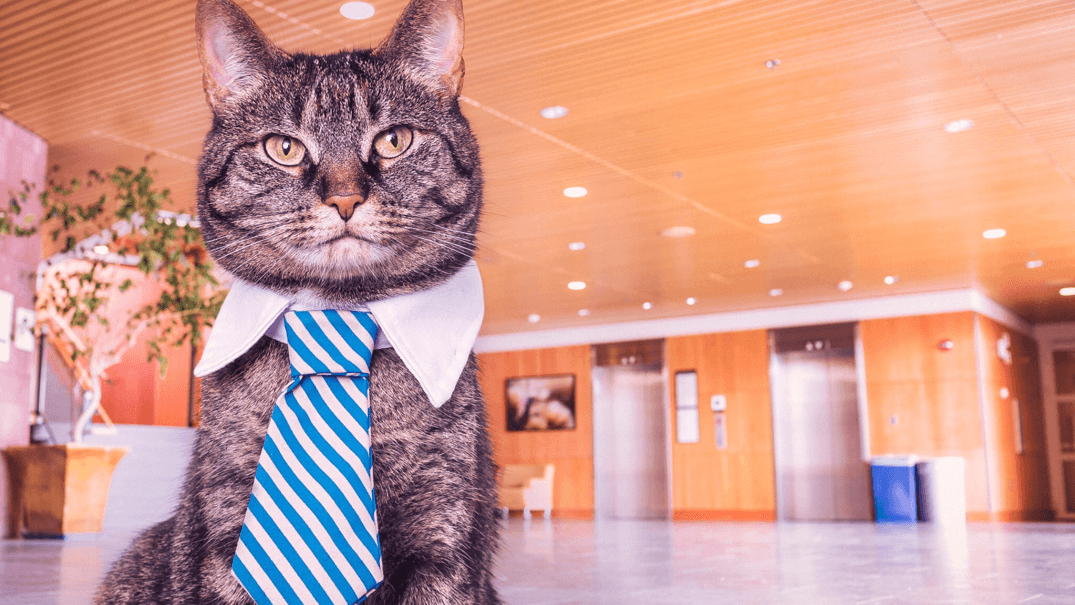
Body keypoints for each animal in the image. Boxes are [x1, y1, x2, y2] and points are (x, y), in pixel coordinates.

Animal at [94, 0, 496, 601]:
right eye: (283, 148)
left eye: (394, 140)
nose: (345, 198)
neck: (334, 314)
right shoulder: (225, 529)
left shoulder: (442, 541)